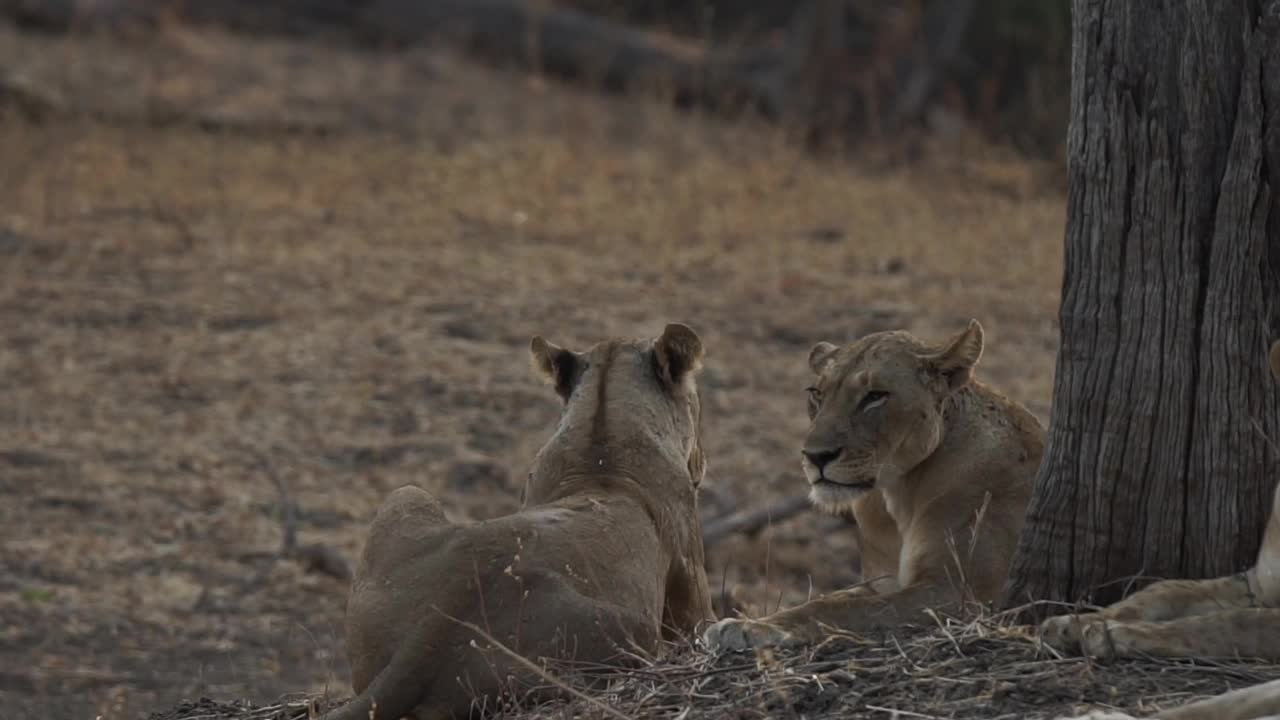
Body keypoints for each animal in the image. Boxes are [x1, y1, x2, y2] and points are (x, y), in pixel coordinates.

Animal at [320, 324, 721, 717]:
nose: (703, 463)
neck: (601, 436)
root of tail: (435, 623)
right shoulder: (688, 568)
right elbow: (701, 624)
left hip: (406, 495)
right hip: (633, 631)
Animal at [706, 319, 1044, 650]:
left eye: (875, 396)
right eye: (816, 393)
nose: (815, 456)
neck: (899, 495)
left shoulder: (963, 594)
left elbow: (841, 609)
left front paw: (750, 629)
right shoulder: (880, 581)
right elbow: (826, 600)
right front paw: (749, 623)